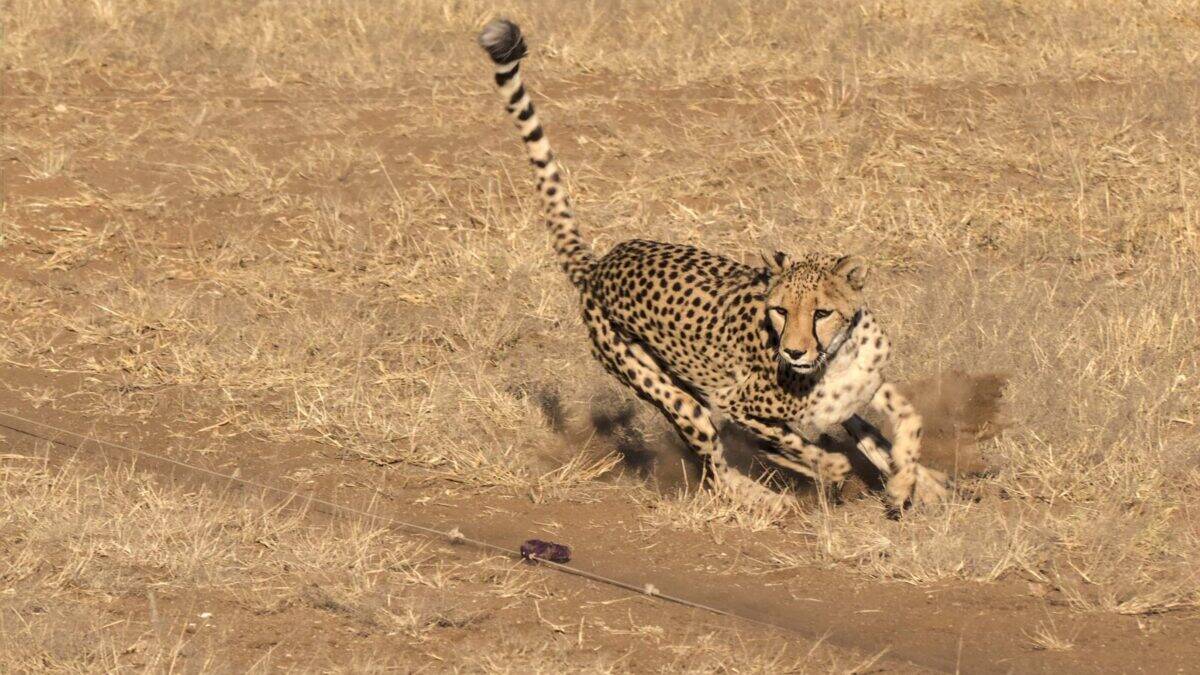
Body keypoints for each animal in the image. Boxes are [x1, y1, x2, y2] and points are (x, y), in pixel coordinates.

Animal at [477, 19, 950, 510]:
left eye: (821, 312)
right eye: (779, 310)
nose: (793, 352)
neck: (838, 357)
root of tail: (604, 262)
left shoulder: (859, 392)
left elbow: (900, 424)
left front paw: (911, 481)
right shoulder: (739, 401)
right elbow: (800, 445)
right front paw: (833, 473)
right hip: (664, 388)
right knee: (717, 468)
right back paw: (768, 500)